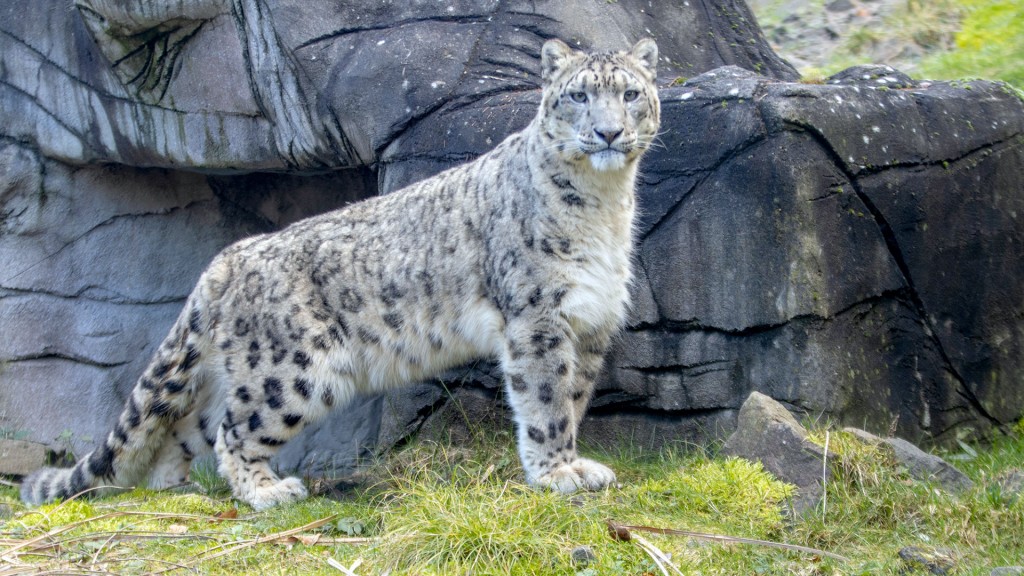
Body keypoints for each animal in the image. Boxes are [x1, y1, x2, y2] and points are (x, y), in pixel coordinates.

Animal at [24, 38, 663, 508]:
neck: (605, 206)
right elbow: (547, 400)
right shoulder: (538, 316)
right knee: (234, 432)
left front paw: (577, 464)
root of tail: (227, 259)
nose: (608, 132)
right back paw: (268, 492)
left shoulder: (590, 321)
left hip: (234, 375)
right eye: (578, 94)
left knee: (185, 430)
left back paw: (177, 489)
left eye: (631, 93)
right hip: (290, 371)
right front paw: (558, 473)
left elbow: (573, 397)